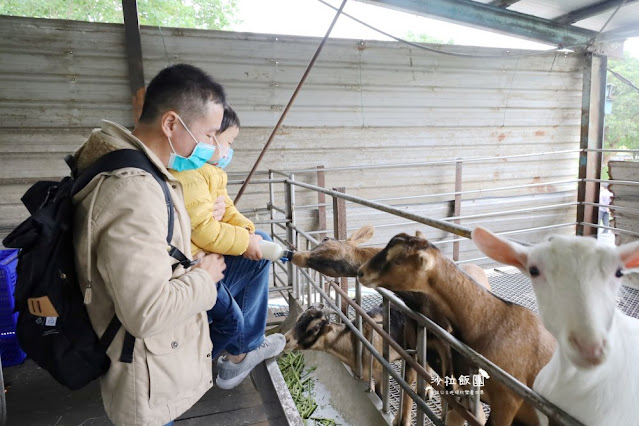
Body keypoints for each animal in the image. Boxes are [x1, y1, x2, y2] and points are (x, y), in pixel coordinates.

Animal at [290, 225, 490, 424]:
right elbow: (408, 384)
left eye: (327, 260)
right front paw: (400, 419)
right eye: (322, 242)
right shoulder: (416, 345)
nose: (294, 254)